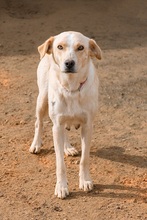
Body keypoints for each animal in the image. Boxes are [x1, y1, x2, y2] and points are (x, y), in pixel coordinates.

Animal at [29, 31, 101, 199]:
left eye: (81, 47)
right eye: (60, 47)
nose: (69, 63)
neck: (72, 87)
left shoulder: (88, 126)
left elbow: (84, 159)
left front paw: (85, 180)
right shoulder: (56, 125)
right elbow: (60, 163)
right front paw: (61, 187)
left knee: (64, 131)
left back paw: (67, 147)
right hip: (42, 100)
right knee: (38, 123)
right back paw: (36, 144)